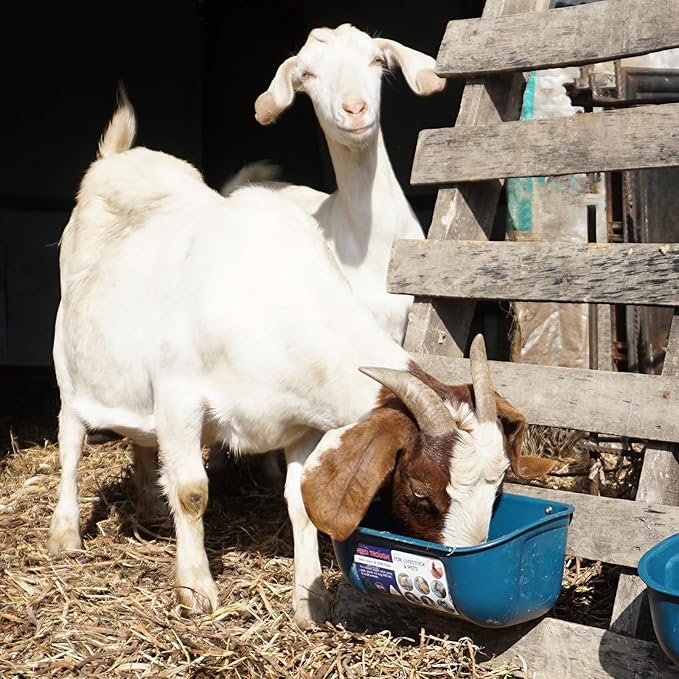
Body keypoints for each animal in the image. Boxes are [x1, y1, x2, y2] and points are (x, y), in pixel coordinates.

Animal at [48, 96, 554, 629]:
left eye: (498, 491)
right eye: (419, 490)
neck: (268, 294)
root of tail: (117, 160)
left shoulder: (302, 423)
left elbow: (302, 503)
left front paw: (309, 601)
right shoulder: (178, 397)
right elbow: (191, 492)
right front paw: (197, 591)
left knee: (142, 441)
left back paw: (148, 504)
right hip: (67, 365)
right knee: (71, 442)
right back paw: (65, 534)